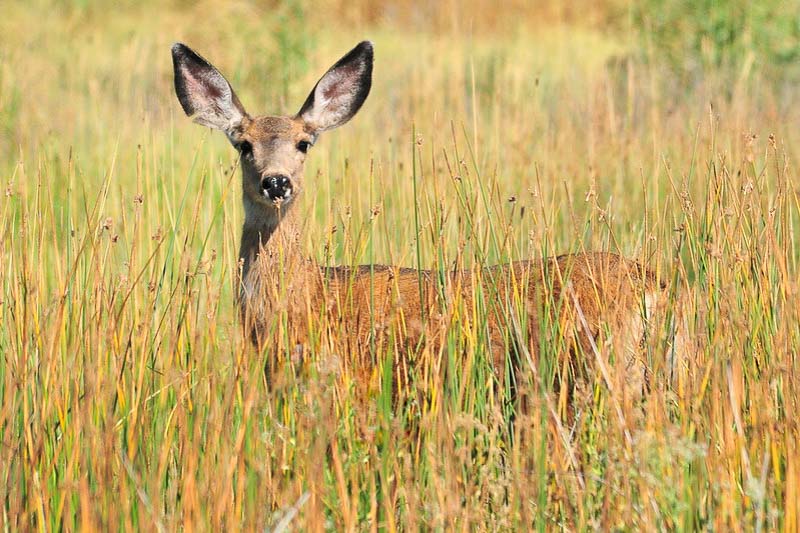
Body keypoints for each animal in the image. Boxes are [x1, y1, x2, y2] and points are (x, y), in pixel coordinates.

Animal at [172, 39, 680, 402]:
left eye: (304, 143)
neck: (305, 298)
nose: (276, 182)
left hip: (606, 369)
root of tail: (656, 287)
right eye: (243, 144)